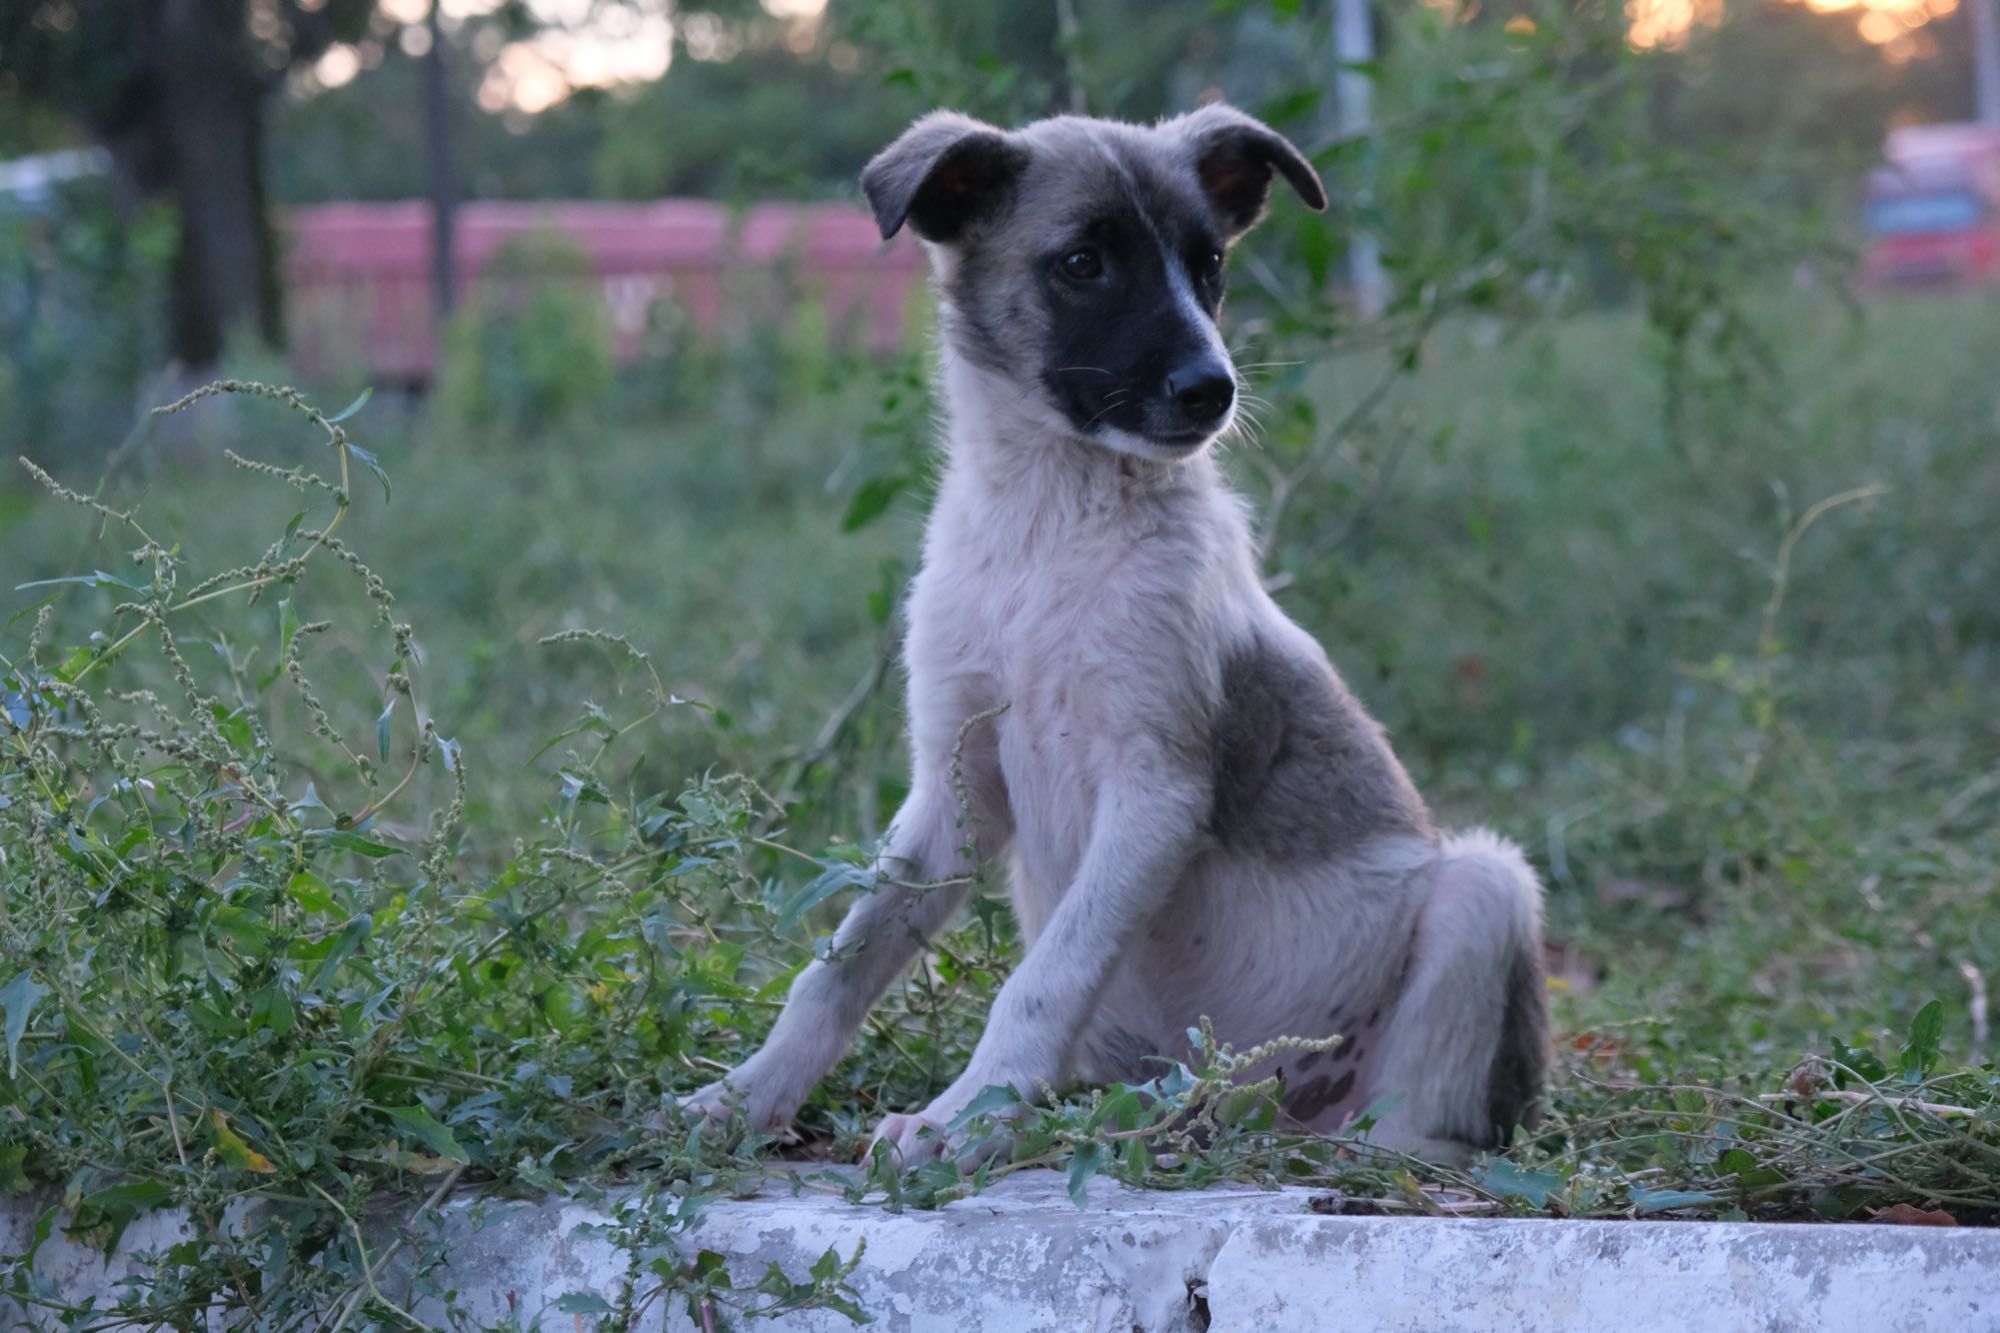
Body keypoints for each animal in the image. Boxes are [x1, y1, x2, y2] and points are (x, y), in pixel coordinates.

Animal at [688, 104, 1544, 1160]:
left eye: (1208, 261)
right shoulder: (952, 791)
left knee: (1431, 1123)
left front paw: (966, 1115)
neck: (1049, 530)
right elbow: (840, 965)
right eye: (1083, 262)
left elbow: (1042, 976)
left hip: (1486, 891)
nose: (1212, 389)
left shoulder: (1154, 789)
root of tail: (1254, 1109)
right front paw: (746, 1096)